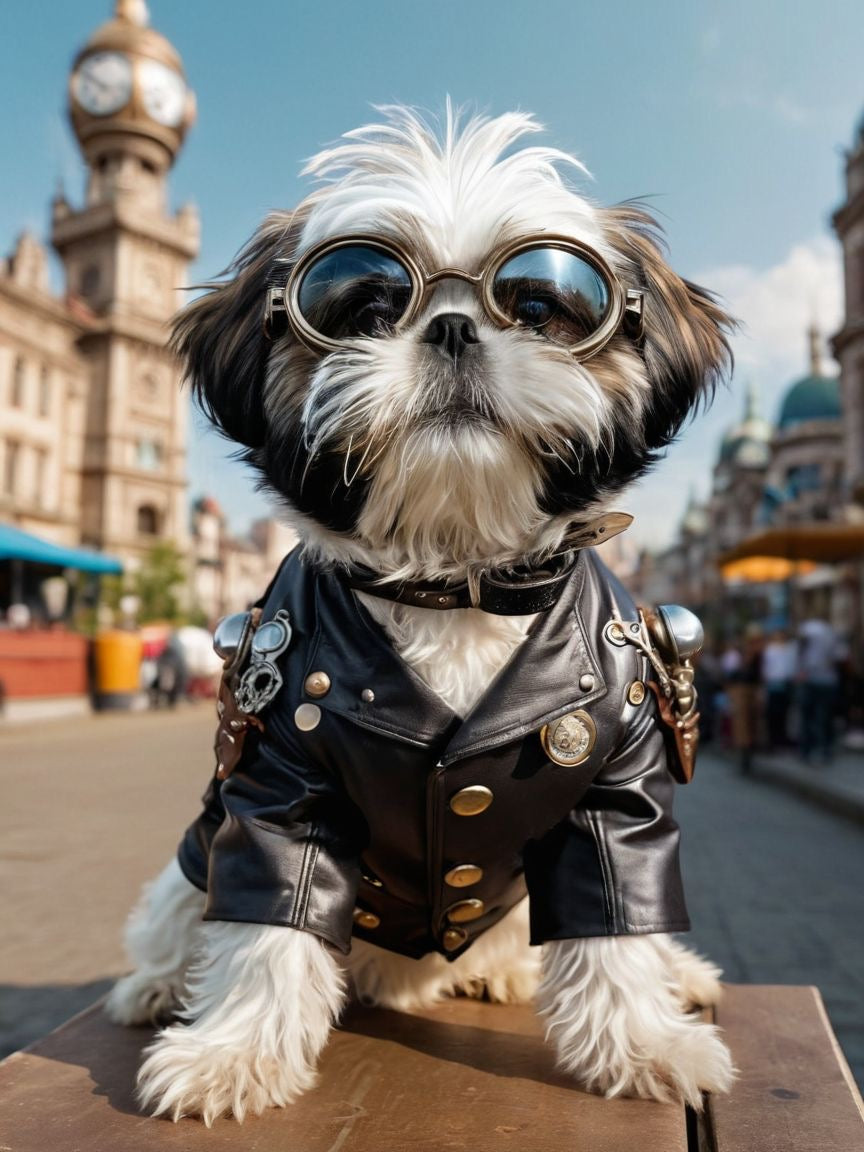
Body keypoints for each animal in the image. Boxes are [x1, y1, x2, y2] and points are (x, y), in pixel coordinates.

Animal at [103, 110, 737, 1124]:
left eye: (541, 308)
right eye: (363, 307)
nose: (451, 326)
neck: (453, 579)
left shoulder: (622, 784)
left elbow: (617, 910)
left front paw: (644, 1041)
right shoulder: (276, 785)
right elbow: (269, 917)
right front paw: (231, 1052)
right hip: (192, 857)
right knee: (179, 909)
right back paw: (159, 984)